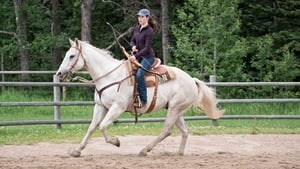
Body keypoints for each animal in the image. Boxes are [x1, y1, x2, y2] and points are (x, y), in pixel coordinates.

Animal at [56, 39, 224, 157]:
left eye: (71, 56)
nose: (59, 73)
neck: (110, 76)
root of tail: (192, 80)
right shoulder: (100, 106)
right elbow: (92, 127)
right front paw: (77, 151)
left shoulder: (117, 107)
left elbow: (103, 126)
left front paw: (116, 142)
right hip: (176, 110)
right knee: (184, 131)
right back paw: (178, 153)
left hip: (175, 109)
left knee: (167, 130)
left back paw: (144, 150)